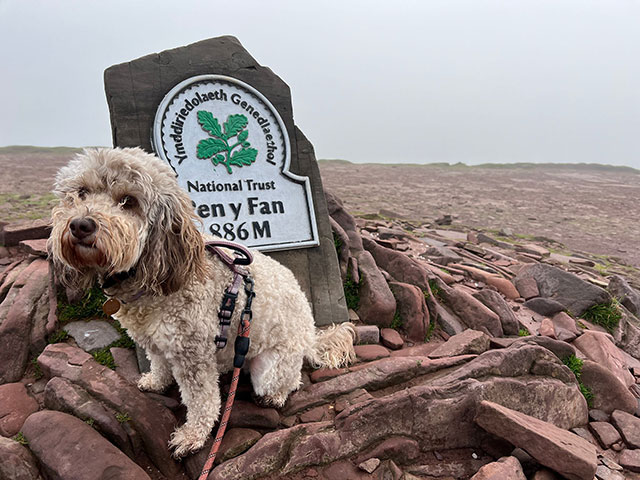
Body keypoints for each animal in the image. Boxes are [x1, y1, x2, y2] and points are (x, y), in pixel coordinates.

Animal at [50, 147, 358, 458]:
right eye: (81, 192)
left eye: (128, 201)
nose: (80, 225)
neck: (152, 275)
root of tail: (309, 336)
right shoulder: (155, 340)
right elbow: (159, 363)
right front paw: (156, 381)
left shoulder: (192, 354)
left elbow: (202, 401)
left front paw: (192, 436)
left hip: (271, 367)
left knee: (290, 381)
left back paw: (275, 396)